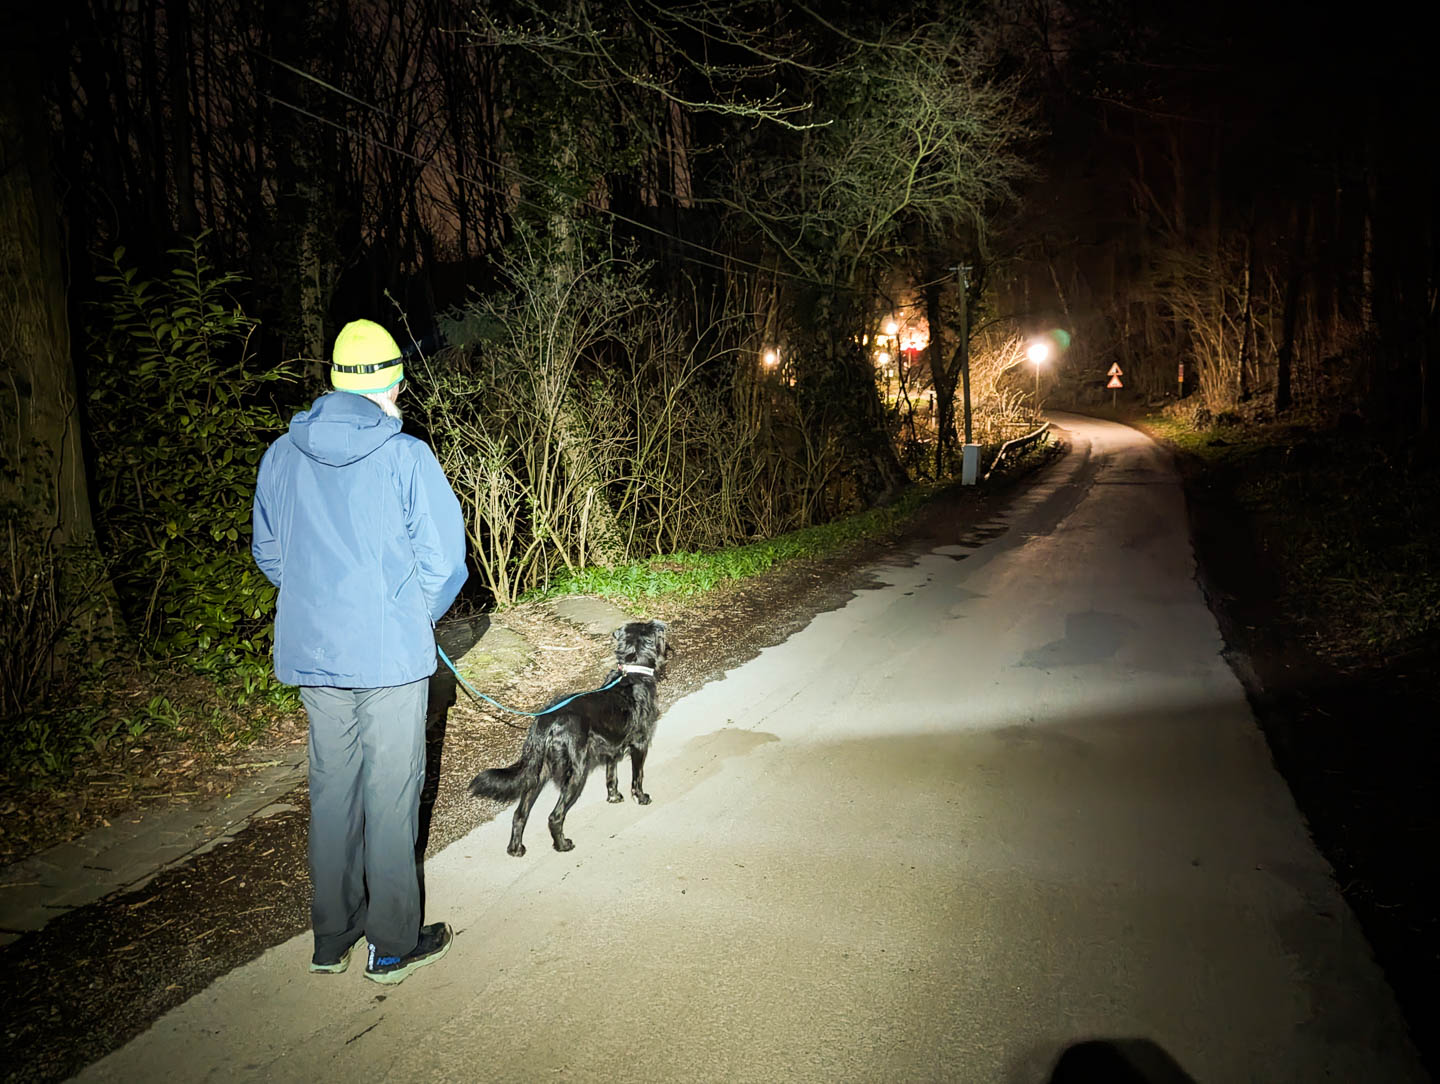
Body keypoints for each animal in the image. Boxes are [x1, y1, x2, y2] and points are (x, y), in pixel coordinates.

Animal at [472, 616, 673, 852]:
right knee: (554, 816)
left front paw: (613, 797)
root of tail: (546, 720)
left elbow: (611, 776)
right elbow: (637, 777)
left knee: (519, 814)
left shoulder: (612, 747)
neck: (632, 672)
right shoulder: (640, 743)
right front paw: (641, 798)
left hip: (537, 773)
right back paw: (562, 845)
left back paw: (516, 849)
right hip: (576, 772)